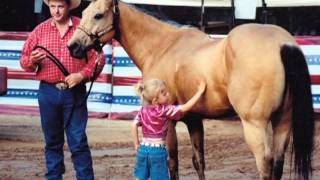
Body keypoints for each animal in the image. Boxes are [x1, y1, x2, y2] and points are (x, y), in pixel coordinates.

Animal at [67, 0, 316, 179]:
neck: (163, 46)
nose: (73, 46)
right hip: (283, 122)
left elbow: (172, 162)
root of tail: (282, 44)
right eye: (84, 11)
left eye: (98, 15)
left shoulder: (169, 121)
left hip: (255, 125)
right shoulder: (194, 120)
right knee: (278, 163)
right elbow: (199, 161)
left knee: (265, 163)